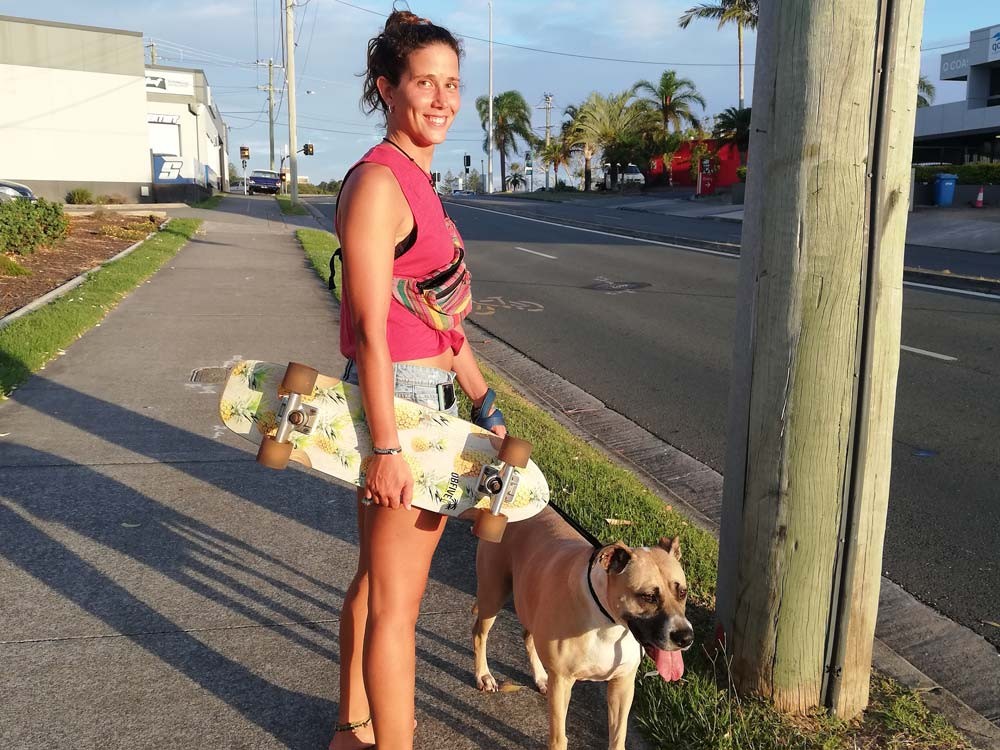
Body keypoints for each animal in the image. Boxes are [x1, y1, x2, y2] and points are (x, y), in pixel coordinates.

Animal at [472, 508, 692, 748]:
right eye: (649, 597)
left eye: (683, 592)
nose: (686, 637)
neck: (608, 621)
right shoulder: (562, 682)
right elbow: (559, 737)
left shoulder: (622, 685)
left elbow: (618, 737)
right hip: (493, 595)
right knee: (480, 634)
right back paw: (484, 675)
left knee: (528, 635)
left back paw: (540, 676)